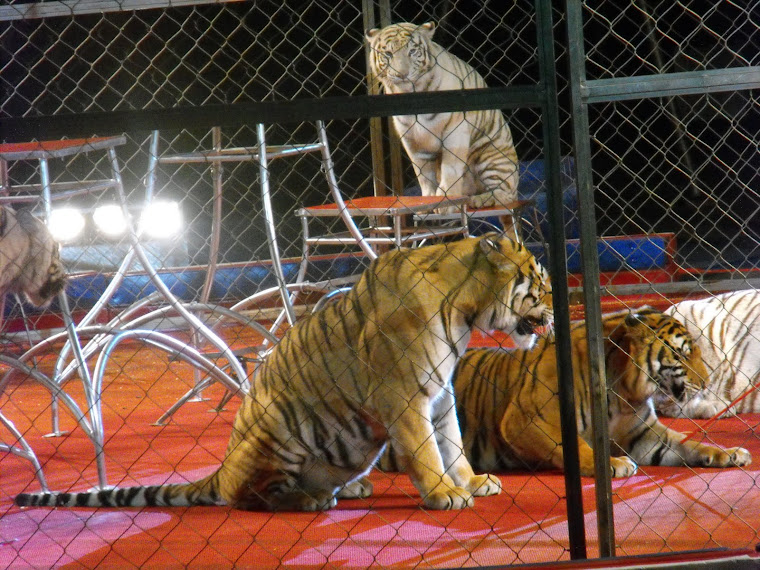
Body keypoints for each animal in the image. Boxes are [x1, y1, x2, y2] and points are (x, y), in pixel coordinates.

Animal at [366, 21, 520, 235]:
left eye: (412, 51)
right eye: (388, 54)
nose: (402, 74)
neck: (411, 93)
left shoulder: (456, 129)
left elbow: (451, 167)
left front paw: (446, 201)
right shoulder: (411, 139)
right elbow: (423, 172)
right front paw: (428, 202)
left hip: (492, 157)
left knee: (506, 195)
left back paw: (480, 199)